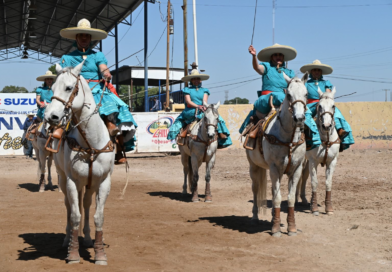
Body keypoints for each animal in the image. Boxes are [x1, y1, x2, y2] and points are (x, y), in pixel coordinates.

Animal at [45, 62, 115, 266]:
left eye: (69, 88)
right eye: (52, 88)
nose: (49, 116)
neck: (91, 143)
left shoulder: (104, 182)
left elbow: (98, 217)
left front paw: (100, 254)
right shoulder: (72, 181)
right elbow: (75, 215)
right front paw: (73, 253)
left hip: (90, 185)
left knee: (86, 204)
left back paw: (87, 239)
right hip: (62, 178)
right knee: (69, 206)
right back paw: (67, 240)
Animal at [248, 73, 310, 237]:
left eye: (306, 94)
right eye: (288, 95)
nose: (299, 118)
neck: (288, 140)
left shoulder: (296, 169)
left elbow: (290, 199)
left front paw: (291, 228)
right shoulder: (275, 168)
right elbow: (277, 198)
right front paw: (275, 229)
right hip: (254, 166)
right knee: (255, 189)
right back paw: (255, 217)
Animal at [298, 88, 340, 216]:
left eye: (333, 106)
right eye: (320, 106)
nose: (326, 125)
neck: (326, 140)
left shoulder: (332, 161)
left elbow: (328, 182)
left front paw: (329, 208)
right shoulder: (313, 161)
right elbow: (314, 182)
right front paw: (314, 208)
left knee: (304, 176)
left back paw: (304, 200)